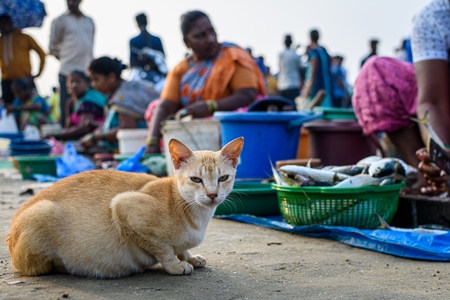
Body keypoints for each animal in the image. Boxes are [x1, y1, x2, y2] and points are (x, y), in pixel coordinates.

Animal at [6, 137, 243, 278]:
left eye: (223, 178)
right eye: (196, 179)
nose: (212, 194)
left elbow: (182, 248)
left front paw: (190, 256)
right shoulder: (123, 205)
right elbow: (164, 249)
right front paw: (175, 264)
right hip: (42, 212)